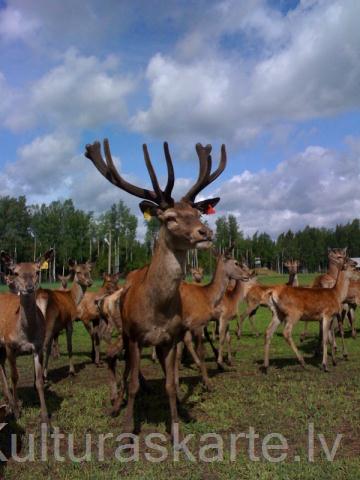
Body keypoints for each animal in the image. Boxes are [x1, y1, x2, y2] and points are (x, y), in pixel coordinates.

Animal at [0, 251, 53, 424]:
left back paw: (7, 399)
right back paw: (10, 403)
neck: (26, 333)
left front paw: (45, 416)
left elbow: (39, 381)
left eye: (37, 271)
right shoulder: (10, 345)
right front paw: (17, 412)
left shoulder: (38, 347)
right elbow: (15, 377)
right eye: (16, 272)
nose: (29, 288)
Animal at [84, 137, 225, 436]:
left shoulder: (169, 340)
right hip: (124, 333)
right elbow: (134, 385)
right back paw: (115, 404)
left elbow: (170, 384)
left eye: (196, 213)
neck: (158, 310)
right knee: (123, 366)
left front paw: (176, 429)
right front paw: (127, 428)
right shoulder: (136, 337)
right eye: (169, 217)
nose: (205, 232)